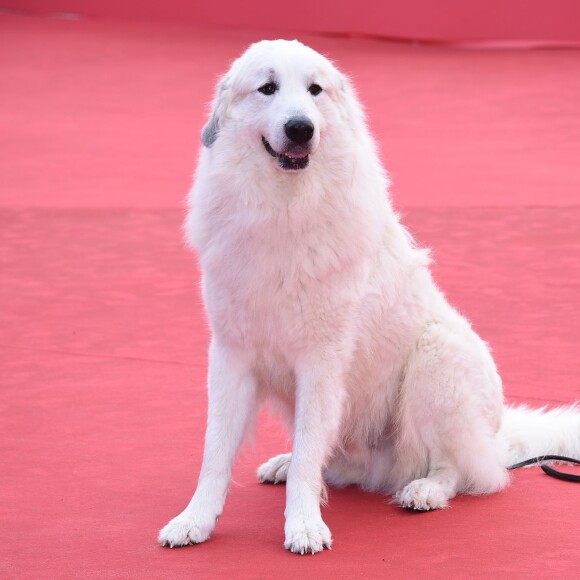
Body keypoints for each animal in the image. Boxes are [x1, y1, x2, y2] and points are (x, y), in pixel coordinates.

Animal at [159, 38, 580, 556]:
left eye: (315, 90)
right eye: (267, 88)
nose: (300, 128)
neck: (283, 206)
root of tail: (497, 433)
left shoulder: (321, 361)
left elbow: (307, 458)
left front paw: (303, 526)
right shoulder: (231, 356)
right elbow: (216, 451)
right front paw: (195, 521)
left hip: (437, 358)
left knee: (467, 469)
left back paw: (424, 490)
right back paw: (287, 464)